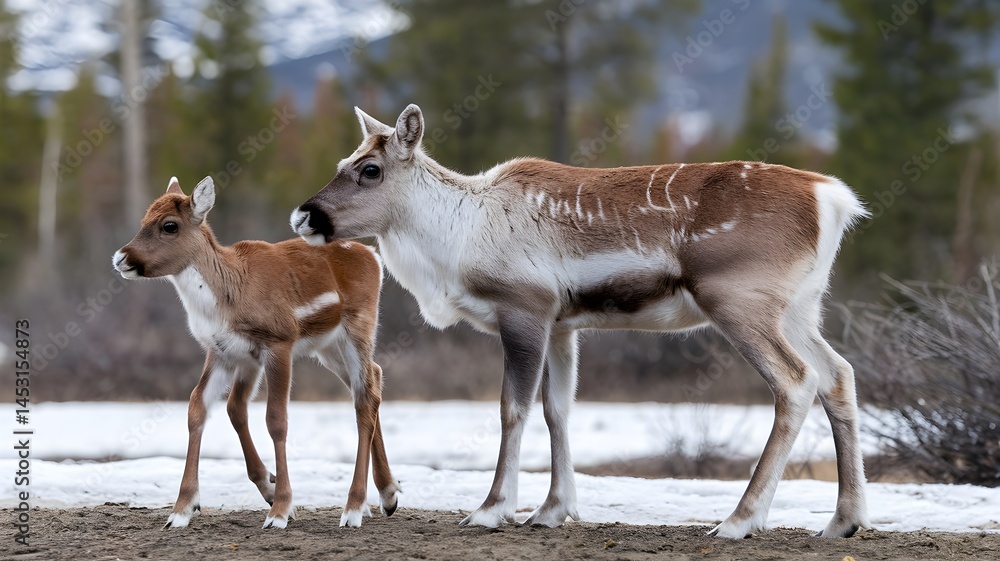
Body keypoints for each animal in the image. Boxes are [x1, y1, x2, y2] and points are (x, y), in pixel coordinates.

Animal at [113, 176, 401, 530]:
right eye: (143, 220)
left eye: (169, 225)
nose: (121, 258)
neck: (230, 297)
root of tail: (373, 255)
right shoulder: (224, 353)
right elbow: (202, 408)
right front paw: (182, 509)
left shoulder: (279, 342)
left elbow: (276, 419)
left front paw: (280, 510)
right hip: (328, 347)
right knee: (373, 380)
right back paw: (388, 495)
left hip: (358, 328)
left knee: (363, 397)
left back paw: (354, 508)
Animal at [290, 104, 870, 539]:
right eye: (344, 159)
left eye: (370, 169)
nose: (303, 215)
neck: (453, 241)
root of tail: (834, 201)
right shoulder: (564, 325)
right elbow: (558, 410)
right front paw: (552, 509)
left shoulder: (524, 310)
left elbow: (512, 409)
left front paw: (493, 508)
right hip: (801, 309)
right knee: (839, 373)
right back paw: (843, 520)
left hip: (739, 302)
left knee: (796, 382)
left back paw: (739, 520)